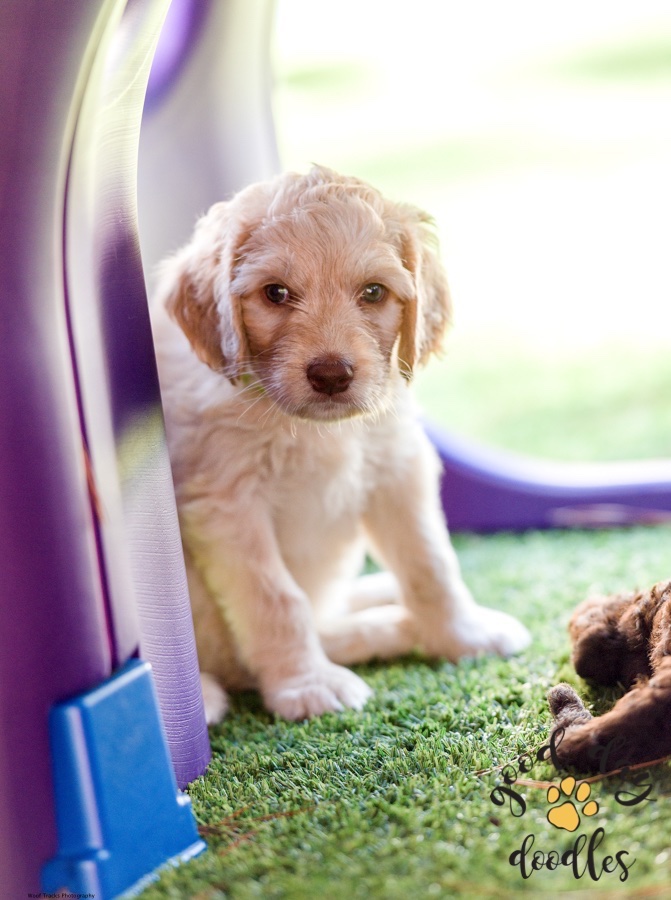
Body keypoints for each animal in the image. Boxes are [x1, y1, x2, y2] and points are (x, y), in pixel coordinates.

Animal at [151, 163, 532, 724]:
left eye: (373, 293)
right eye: (275, 293)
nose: (331, 375)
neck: (316, 430)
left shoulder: (396, 470)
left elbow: (430, 562)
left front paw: (464, 634)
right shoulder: (227, 504)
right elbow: (277, 598)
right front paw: (307, 683)